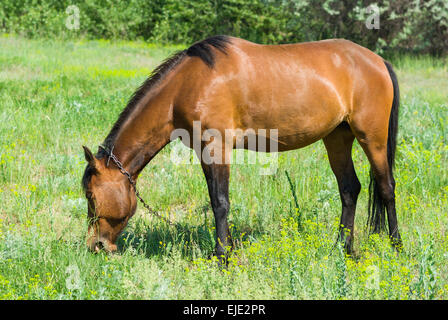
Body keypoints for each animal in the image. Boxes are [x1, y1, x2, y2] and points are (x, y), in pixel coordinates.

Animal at [81, 35, 402, 262]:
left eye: (91, 195)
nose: (95, 245)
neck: (188, 84)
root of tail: (377, 61)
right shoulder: (205, 150)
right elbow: (216, 201)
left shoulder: (216, 147)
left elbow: (220, 202)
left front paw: (222, 256)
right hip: (337, 137)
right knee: (349, 189)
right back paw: (342, 249)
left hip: (372, 137)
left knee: (386, 187)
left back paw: (396, 247)